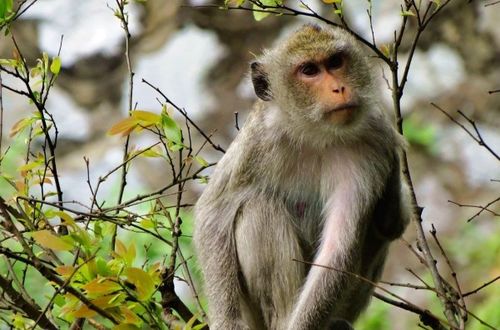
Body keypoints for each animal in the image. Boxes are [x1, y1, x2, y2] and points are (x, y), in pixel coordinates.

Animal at [193, 23, 408, 330]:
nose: (339, 88)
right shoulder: (257, 141)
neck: (314, 134)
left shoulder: (374, 144)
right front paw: (227, 321)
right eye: (309, 70)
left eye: (335, 62)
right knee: (259, 208)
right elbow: (214, 213)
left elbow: (336, 250)